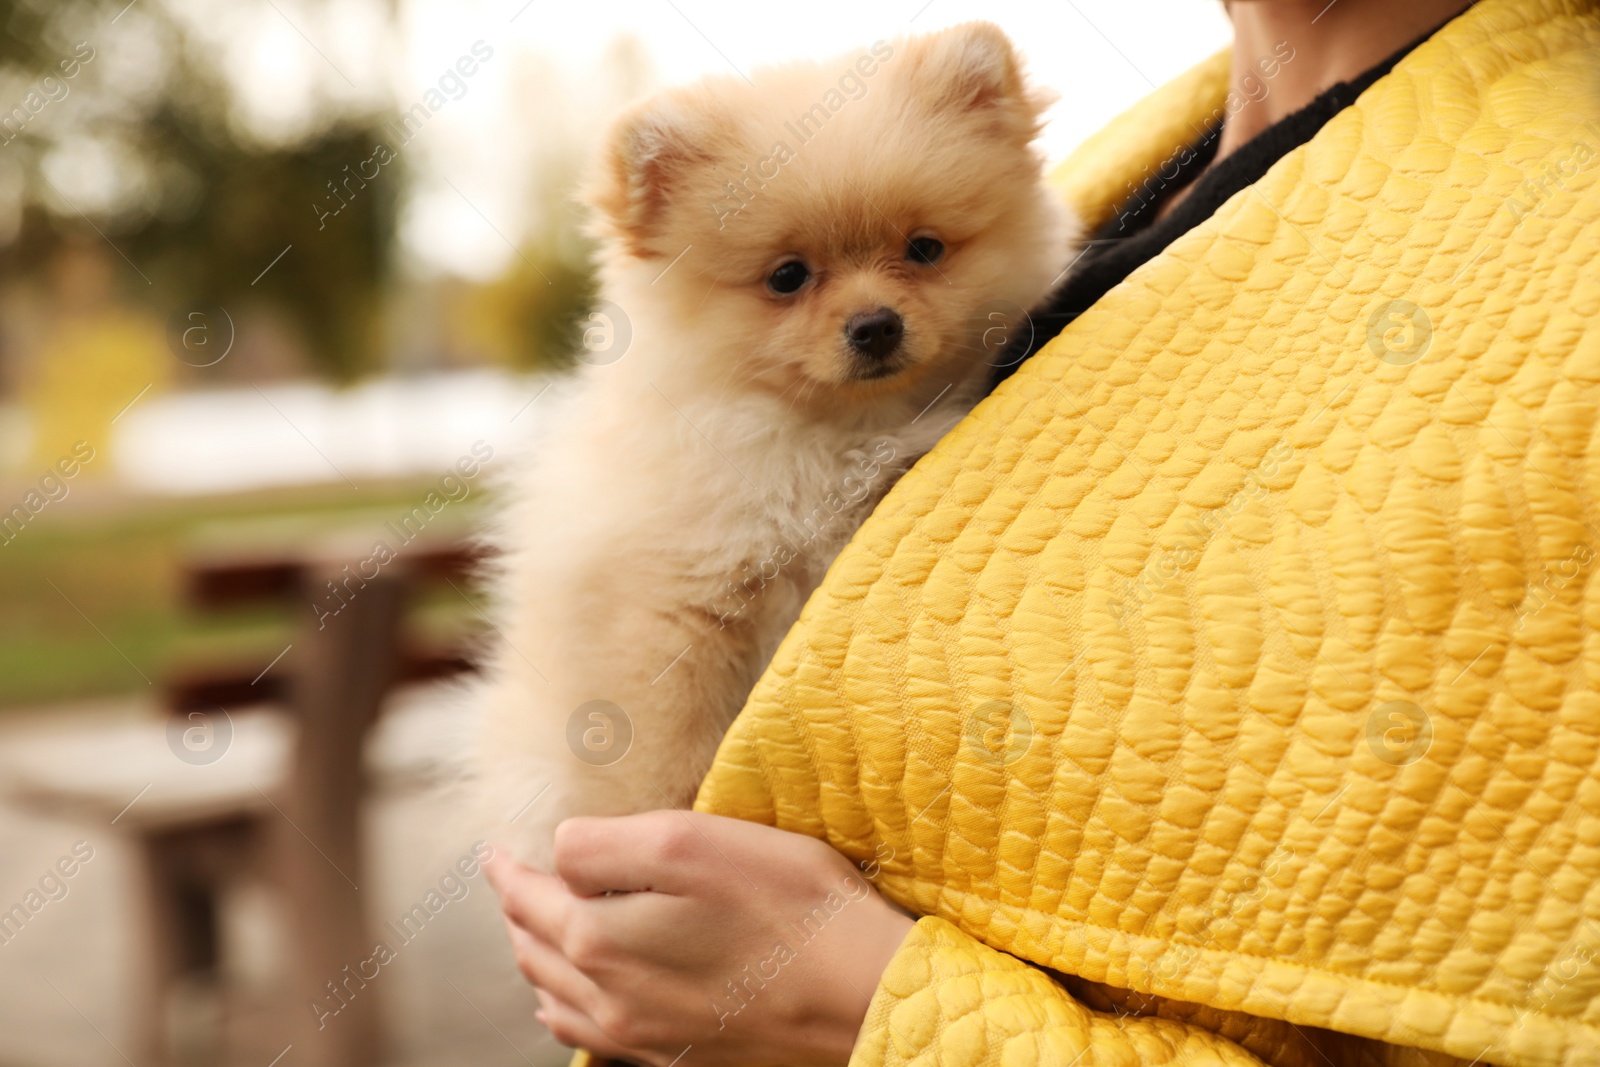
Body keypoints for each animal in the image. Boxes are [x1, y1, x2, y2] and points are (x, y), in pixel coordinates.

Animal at [470, 20, 1075, 863]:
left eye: (924, 249)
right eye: (787, 276)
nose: (875, 324)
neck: (834, 434)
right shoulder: (668, 601)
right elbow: (656, 748)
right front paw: (649, 824)